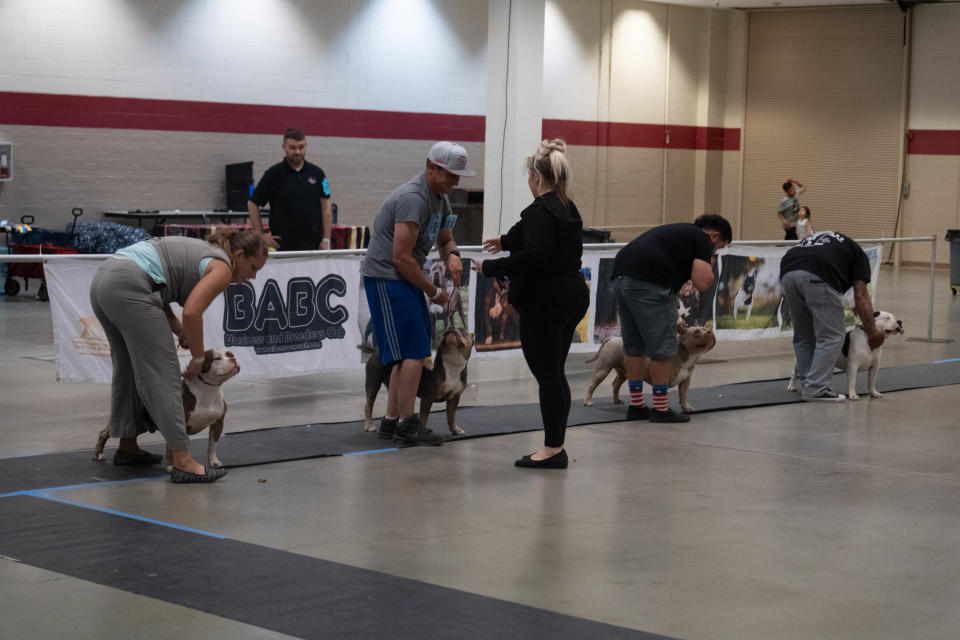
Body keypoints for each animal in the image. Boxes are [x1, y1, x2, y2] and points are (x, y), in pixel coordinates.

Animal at [94, 350, 242, 470]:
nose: (233, 360)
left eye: (231, 354)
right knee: (104, 433)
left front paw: (214, 462)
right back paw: (99, 454)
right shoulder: (177, 423)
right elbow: (173, 447)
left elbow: (212, 445)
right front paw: (173, 466)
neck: (208, 390)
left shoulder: (218, 423)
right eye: (217, 358)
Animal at [580, 324, 716, 410]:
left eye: (704, 328)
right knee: (592, 384)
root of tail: (612, 338)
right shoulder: (662, 378)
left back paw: (617, 400)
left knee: (616, 384)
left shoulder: (685, 381)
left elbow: (683, 395)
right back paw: (588, 401)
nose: (710, 331)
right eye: (697, 332)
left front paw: (686, 407)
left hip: (624, 372)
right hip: (603, 369)